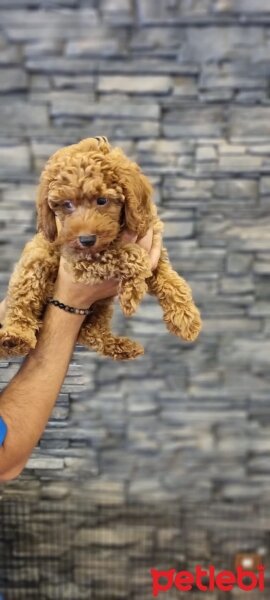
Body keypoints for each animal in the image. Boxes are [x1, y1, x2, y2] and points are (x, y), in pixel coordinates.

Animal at [0, 136, 200, 360]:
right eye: (67, 204)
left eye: (102, 200)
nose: (86, 239)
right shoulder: (79, 259)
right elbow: (130, 254)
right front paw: (132, 293)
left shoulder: (155, 249)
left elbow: (173, 281)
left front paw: (186, 319)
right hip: (36, 264)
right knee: (22, 304)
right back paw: (15, 337)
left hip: (100, 305)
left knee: (90, 333)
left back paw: (123, 346)